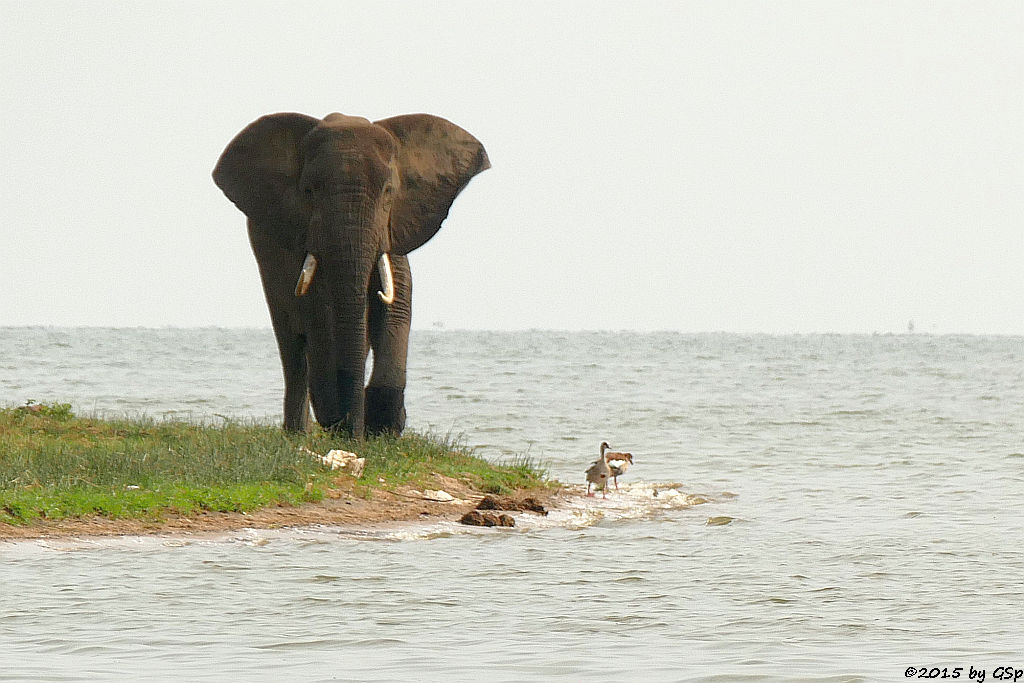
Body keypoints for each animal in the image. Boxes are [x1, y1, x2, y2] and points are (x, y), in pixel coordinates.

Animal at [211, 109, 487, 436]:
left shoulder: (396, 226)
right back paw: (298, 434)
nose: (352, 433)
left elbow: (396, 304)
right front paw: (347, 420)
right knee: (292, 345)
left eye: (388, 191)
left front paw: (381, 425)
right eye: (308, 191)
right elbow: (320, 315)